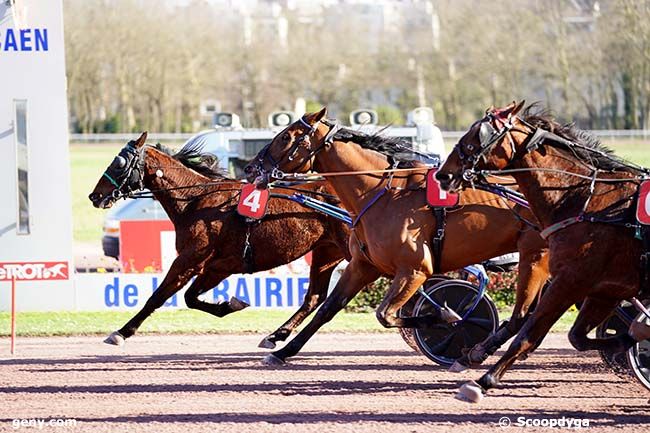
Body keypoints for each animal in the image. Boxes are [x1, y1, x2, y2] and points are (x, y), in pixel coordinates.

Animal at [87, 132, 350, 348]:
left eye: (119, 163)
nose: (95, 196)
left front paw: (121, 332)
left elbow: (158, 296)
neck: (195, 199)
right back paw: (276, 335)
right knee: (314, 297)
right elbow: (190, 298)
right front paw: (231, 304)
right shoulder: (217, 267)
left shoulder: (189, 259)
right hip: (327, 252)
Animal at [243, 108, 548, 364]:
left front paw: (444, 317)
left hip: (535, 255)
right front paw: (283, 351)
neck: (383, 193)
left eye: (286, 136)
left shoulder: (414, 270)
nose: (250, 168)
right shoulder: (363, 265)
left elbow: (386, 314)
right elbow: (328, 308)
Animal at [432, 101, 648, 402]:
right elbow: (576, 337)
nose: (444, 175)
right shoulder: (606, 290)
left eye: (478, 136)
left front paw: (483, 381)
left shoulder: (569, 282)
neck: (586, 203)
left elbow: (528, 333)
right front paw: (636, 334)